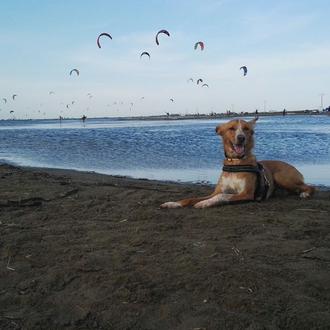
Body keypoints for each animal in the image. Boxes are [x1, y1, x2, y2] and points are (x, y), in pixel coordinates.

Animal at [161, 116, 316, 209]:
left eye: (246, 129)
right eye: (231, 128)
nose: (241, 137)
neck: (235, 162)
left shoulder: (246, 193)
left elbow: (222, 196)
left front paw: (205, 202)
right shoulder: (217, 190)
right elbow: (191, 198)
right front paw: (173, 203)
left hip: (282, 177)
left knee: (310, 187)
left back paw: (305, 194)